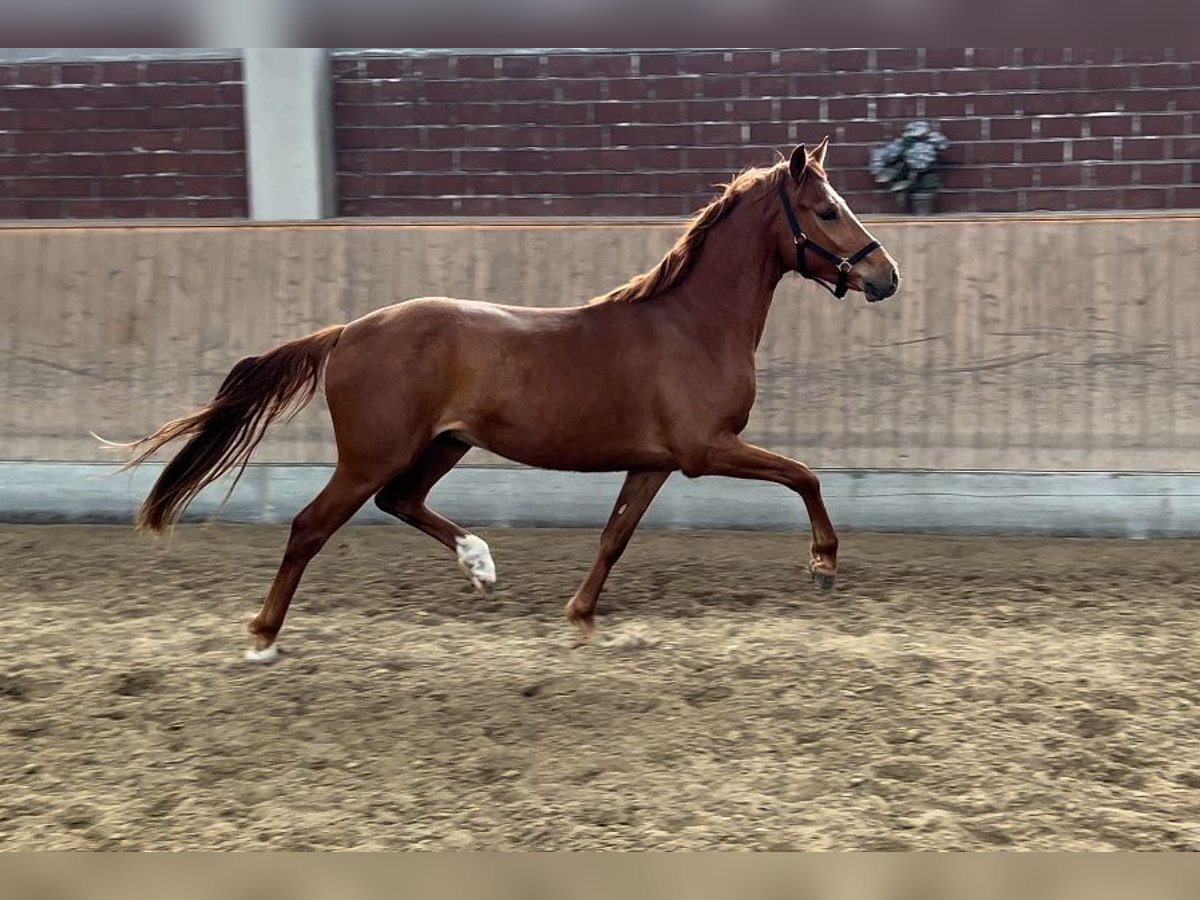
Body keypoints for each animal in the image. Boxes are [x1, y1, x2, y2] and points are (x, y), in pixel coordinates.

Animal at [114, 141, 902, 662]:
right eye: (827, 211)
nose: (887, 277)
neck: (693, 325)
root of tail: (348, 332)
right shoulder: (706, 451)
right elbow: (806, 475)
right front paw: (824, 564)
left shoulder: (654, 462)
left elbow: (615, 536)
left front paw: (580, 617)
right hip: (374, 454)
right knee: (311, 526)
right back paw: (263, 637)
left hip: (444, 443)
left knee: (400, 502)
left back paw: (480, 564)